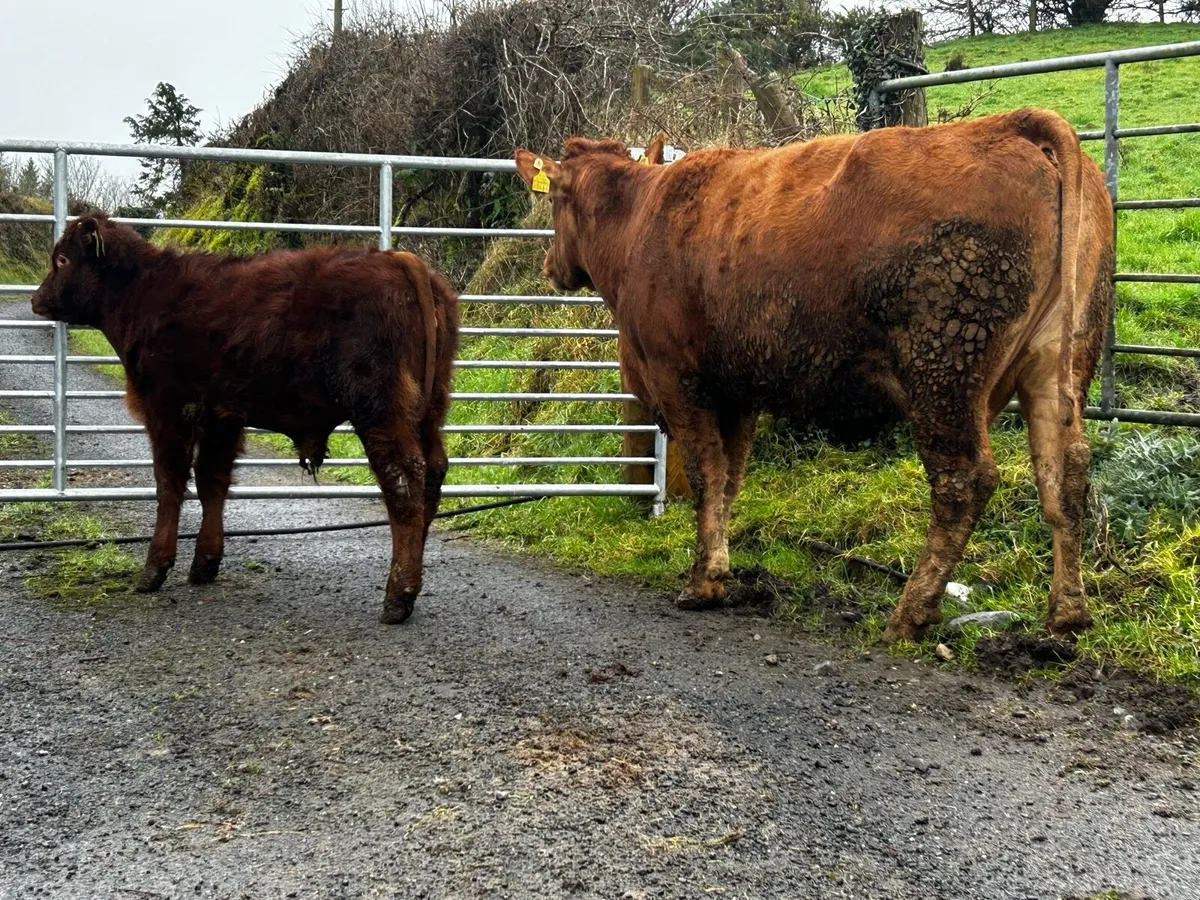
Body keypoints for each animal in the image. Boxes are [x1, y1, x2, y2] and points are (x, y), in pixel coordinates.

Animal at [31, 212, 459, 625]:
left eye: (62, 260)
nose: (36, 299)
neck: (144, 293)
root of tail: (394, 259)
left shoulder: (166, 408)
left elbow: (170, 484)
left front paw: (154, 570)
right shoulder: (221, 417)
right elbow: (212, 481)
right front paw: (205, 563)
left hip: (379, 407)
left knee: (403, 480)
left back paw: (398, 595)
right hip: (429, 408)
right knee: (433, 474)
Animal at [515, 107, 1114, 642]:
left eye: (555, 203)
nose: (549, 265)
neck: (641, 222)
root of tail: (1011, 124)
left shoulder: (680, 380)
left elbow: (707, 476)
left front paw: (702, 582)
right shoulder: (738, 392)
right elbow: (729, 480)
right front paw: (720, 570)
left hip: (944, 367)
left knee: (963, 482)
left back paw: (911, 613)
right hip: (1059, 360)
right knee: (1064, 473)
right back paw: (1067, 615)